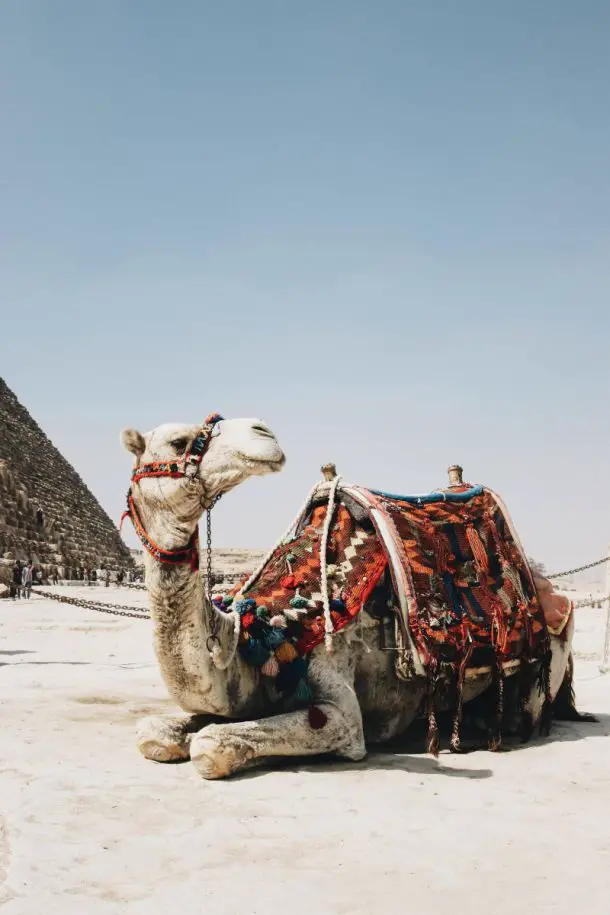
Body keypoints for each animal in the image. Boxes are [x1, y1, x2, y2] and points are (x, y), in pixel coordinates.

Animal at [122, 415, 579, 780]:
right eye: (179, 442)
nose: (262, 431)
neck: (265, 634)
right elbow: (154, 733)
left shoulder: (342, 713)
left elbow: (211, 744)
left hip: (548, 660)